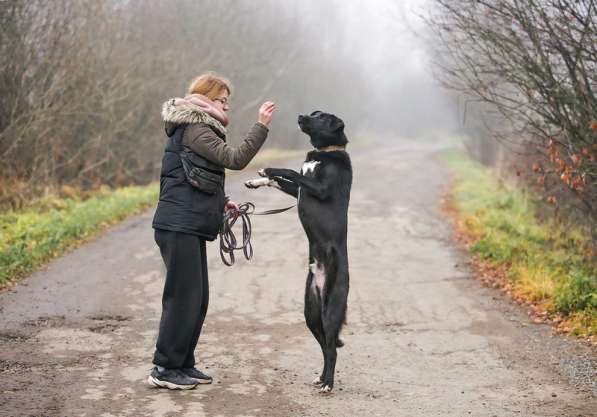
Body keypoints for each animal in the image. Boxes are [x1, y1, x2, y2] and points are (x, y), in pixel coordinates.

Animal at [244, 109, 352, 390]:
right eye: (314, 113)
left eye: (321, 117)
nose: (301, 115)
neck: (324, 152)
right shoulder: (298, 190)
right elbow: (280, 180)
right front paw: (255, 180)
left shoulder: (319, 188)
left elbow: (290, 171)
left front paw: (268, 167)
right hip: (311, 314)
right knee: (325, 346)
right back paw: (321, 378)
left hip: (330, 310)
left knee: (332, 349)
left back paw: (328, 384)